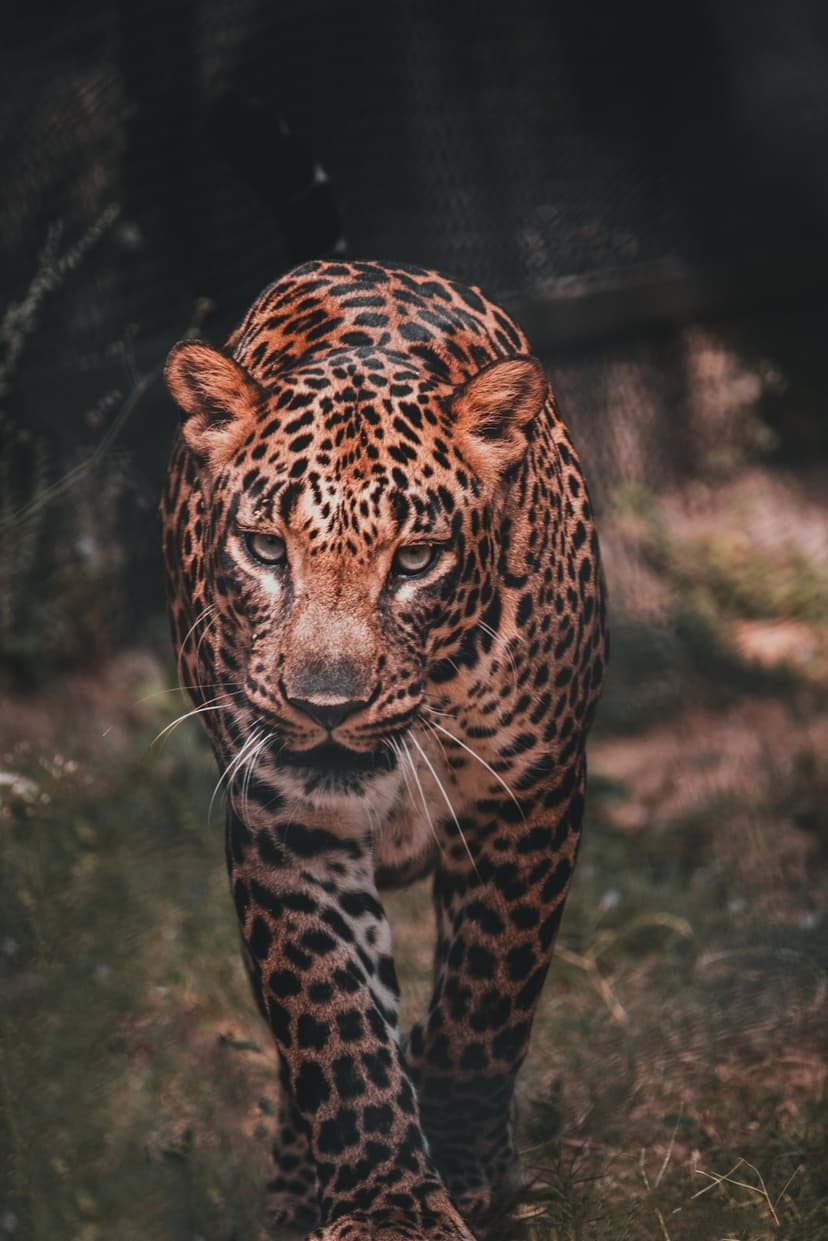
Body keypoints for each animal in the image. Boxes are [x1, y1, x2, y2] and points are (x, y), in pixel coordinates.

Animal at [161, 259, 607, 1241]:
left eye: (415, 559)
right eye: (264, 548)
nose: (326, 705)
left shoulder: (528, 800)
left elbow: (487, 1003)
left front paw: (466, 1160)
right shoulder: (284, 822)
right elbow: (332, 1019)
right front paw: (387, 1204)